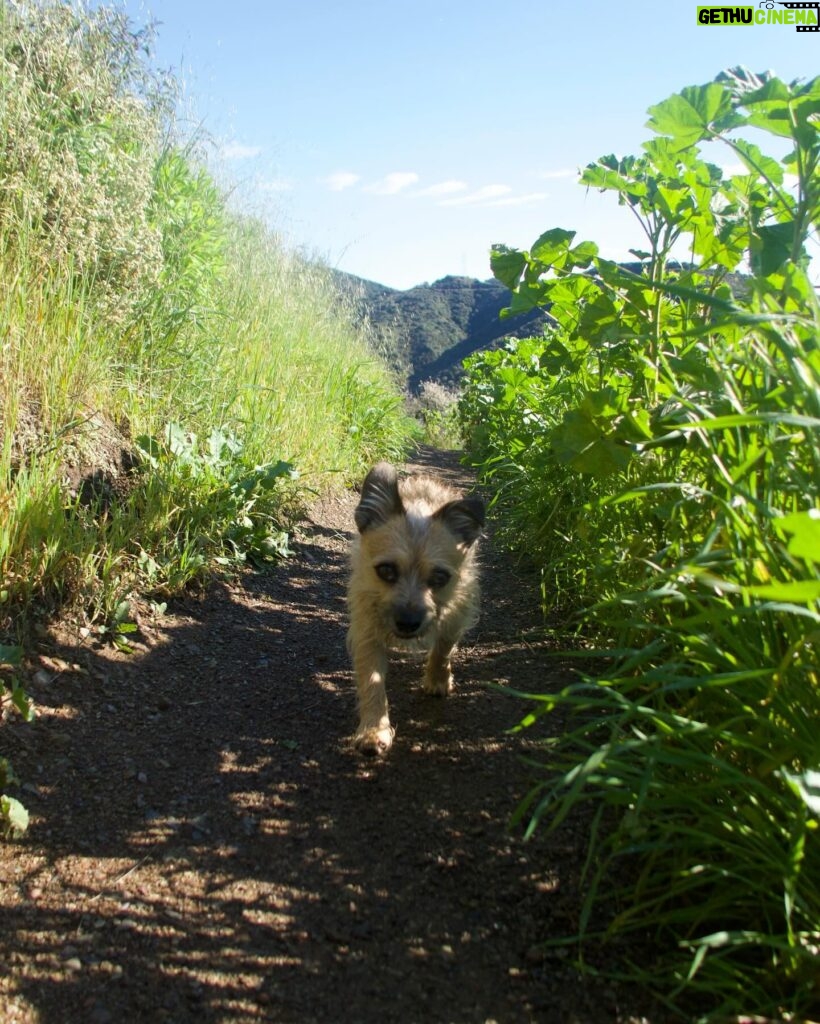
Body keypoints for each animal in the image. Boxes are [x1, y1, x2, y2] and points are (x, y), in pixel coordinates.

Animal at [348, 462, 487, 753]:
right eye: (386, 571)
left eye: (439, 578)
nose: (408, 622)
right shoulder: (366, 628)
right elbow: (371, 679)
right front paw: (374, 730)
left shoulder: (457, 612)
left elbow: (444, 648)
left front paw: (438, 679)